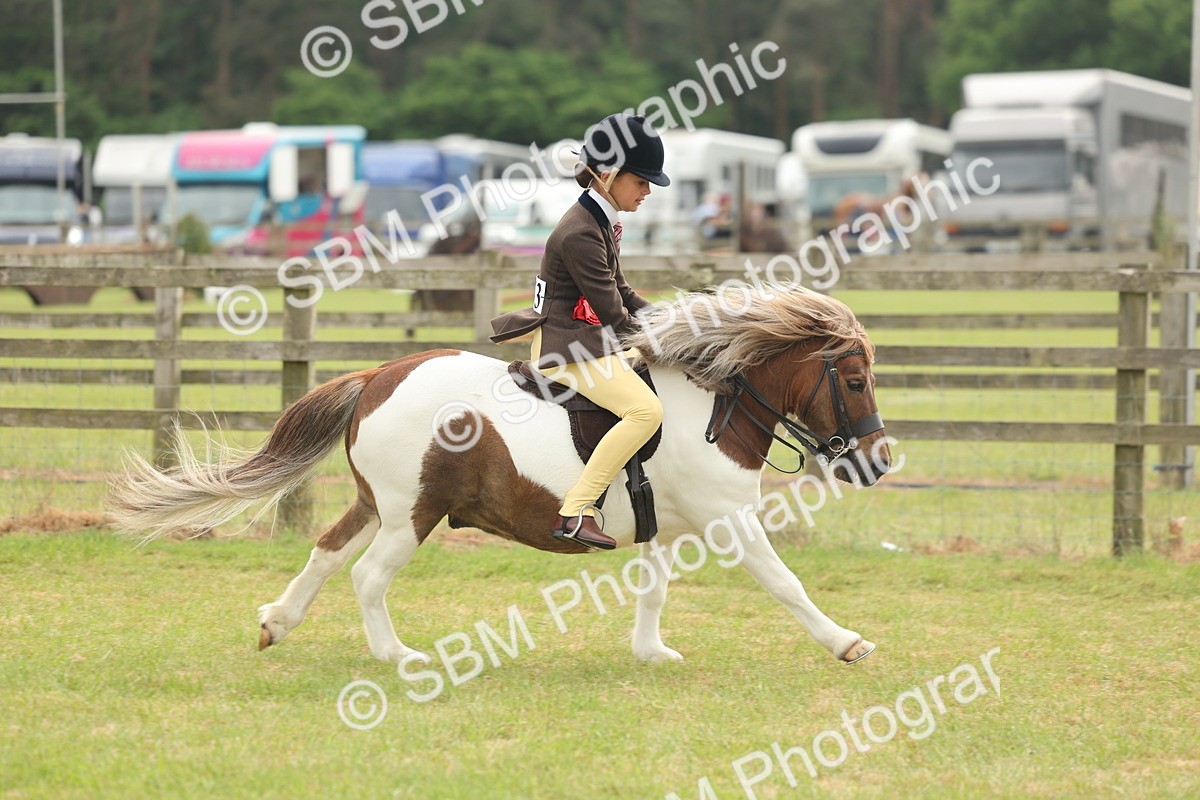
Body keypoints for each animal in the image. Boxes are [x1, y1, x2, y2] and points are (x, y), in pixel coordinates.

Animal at [107, 284, 890, 666]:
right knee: (366, 576)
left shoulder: (670, 528)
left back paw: (277, 621)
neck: (714, 404)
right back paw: (395, 655)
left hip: (378, 505)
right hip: (413, 514)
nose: (878, 463)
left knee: (327, 553)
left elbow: (654, 590)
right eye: (854, 380)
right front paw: (847, 643)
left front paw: (650, 653)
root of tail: (375, 377)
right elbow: (786, 584)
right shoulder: (731, 521)